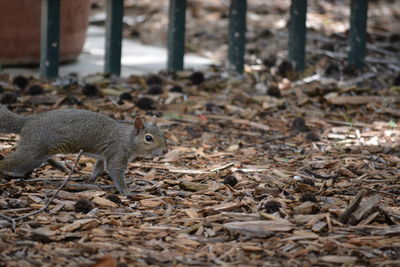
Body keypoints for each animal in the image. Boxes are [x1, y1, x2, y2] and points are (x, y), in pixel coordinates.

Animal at [0, 107, 166, 197]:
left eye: (162, 134)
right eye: (148, 138)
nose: (163, 151)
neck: (126, 139)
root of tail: (27, 122)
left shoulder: (103, 156)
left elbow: (98, 168)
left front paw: (90, 181)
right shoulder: (117, 153)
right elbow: (115, 172)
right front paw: (126, 192)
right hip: (33, 152)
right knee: (8, 162)